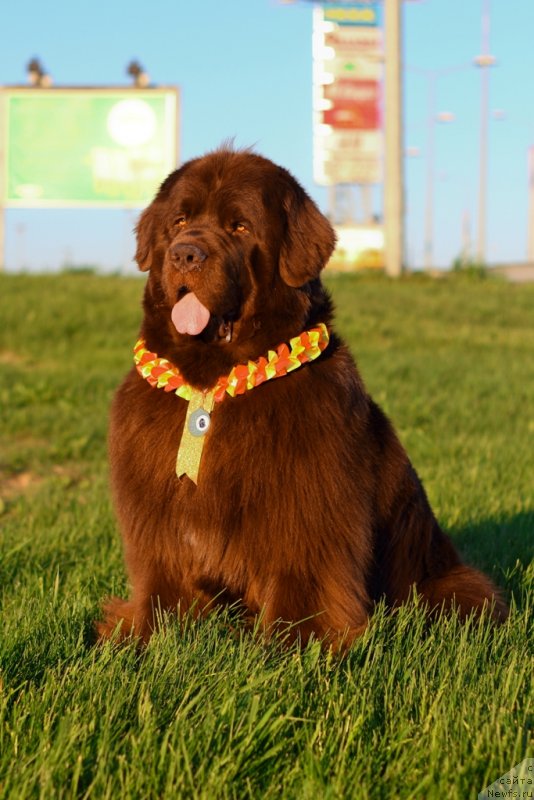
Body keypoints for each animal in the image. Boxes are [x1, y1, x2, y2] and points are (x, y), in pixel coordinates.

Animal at [97, 148, 510, 648]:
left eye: (239, 227)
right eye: (179, 221)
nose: (185, 254)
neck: (214, 383)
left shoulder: (306, 507)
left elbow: (303, 580)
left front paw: (296, 645)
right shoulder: (160, 518)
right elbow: (164, 583)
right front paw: (143, 637)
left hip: (451, 586)